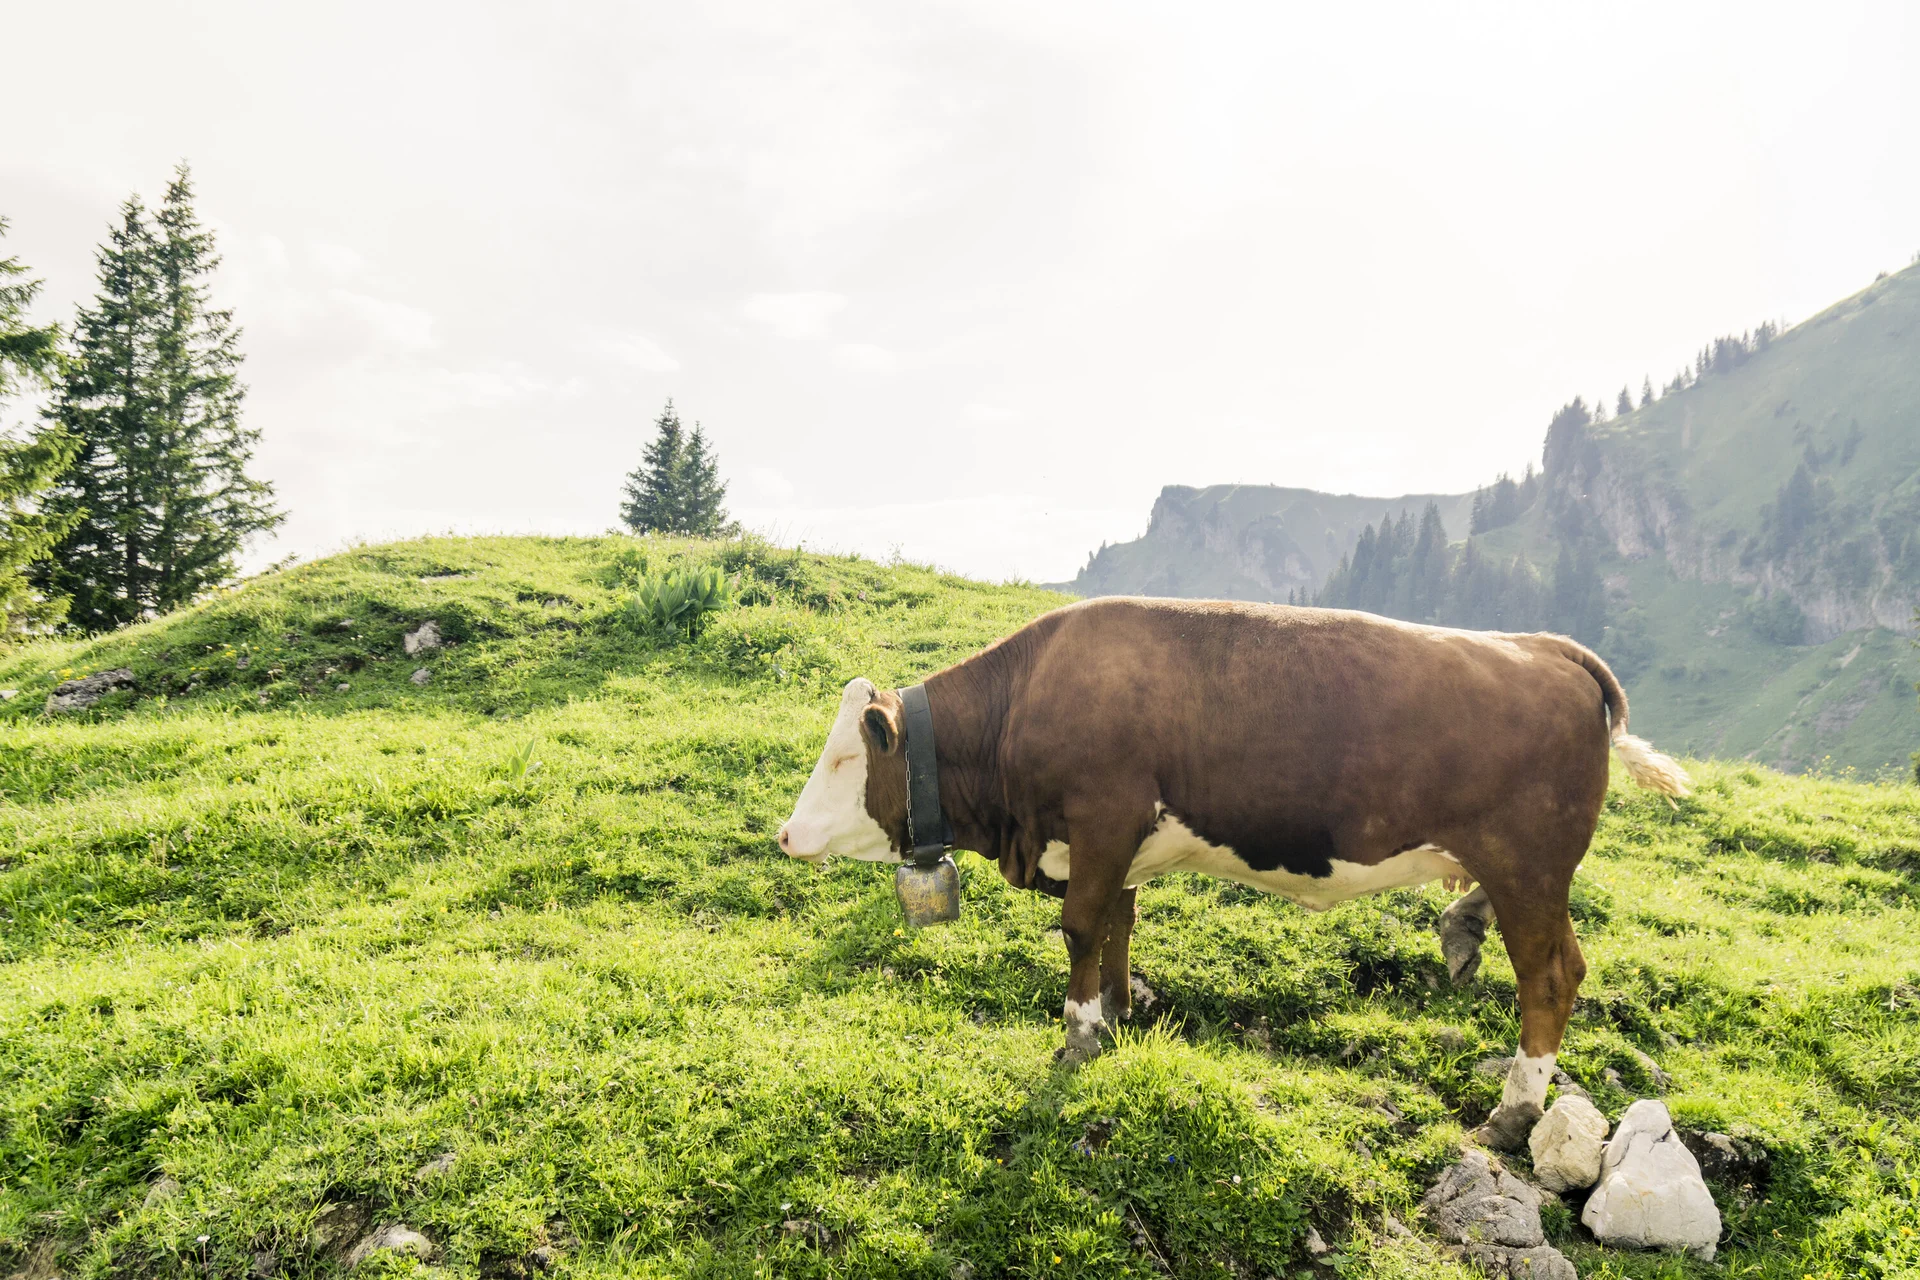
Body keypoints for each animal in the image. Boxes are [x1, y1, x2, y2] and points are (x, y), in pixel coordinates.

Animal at [777, 597, 1689, 1148]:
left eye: (842, 758)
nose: (786, 834)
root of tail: (1547, 649)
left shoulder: (1103, 816)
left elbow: (1079, 926)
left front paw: (1079, 1035)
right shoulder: (1121, 841)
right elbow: (1118, 921)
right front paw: (1119, 1009)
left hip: (1531, 866)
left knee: (1552, 974)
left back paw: (1516, 1111)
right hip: (1517, 869)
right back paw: (1463, 935)